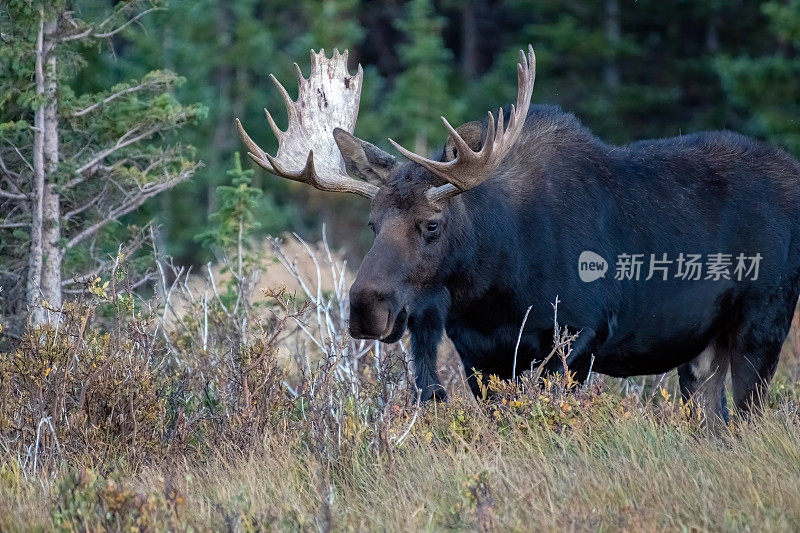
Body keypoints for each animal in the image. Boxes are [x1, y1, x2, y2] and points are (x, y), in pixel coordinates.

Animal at [236, 46, 800, 420]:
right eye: (373, 223)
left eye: (432, 224)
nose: (365, 308)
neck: (493, 283)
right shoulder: (479, 358)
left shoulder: (577, 340)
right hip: (701, 349)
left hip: (763, 327)